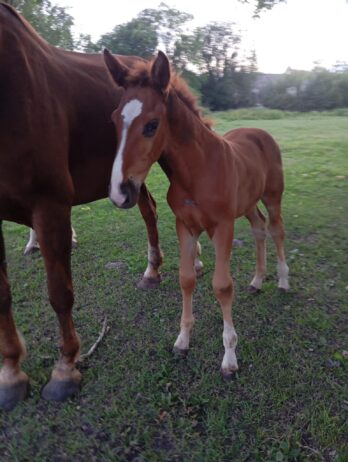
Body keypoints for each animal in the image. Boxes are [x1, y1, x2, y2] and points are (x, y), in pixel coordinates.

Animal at [0, 1, 163, 410]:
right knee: (150, 208)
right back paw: (152, 270)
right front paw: (10, 374)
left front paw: (65, 370)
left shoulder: (51, 204)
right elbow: (3, 296)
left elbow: (60, 293)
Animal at [103, 48, 290, 378]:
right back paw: (257, 281)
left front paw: (229, 357)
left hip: (272, 196)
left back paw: (282, 281)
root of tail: (260, 131)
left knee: (276, 229)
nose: (119, 192)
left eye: (151, 125)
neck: (198, 171)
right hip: (247, 204)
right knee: (259, 227)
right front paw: (182, 340)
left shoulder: (223, 227)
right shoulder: (186, 227)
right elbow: (186, 278)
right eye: (115, 119)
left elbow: (222, 286)